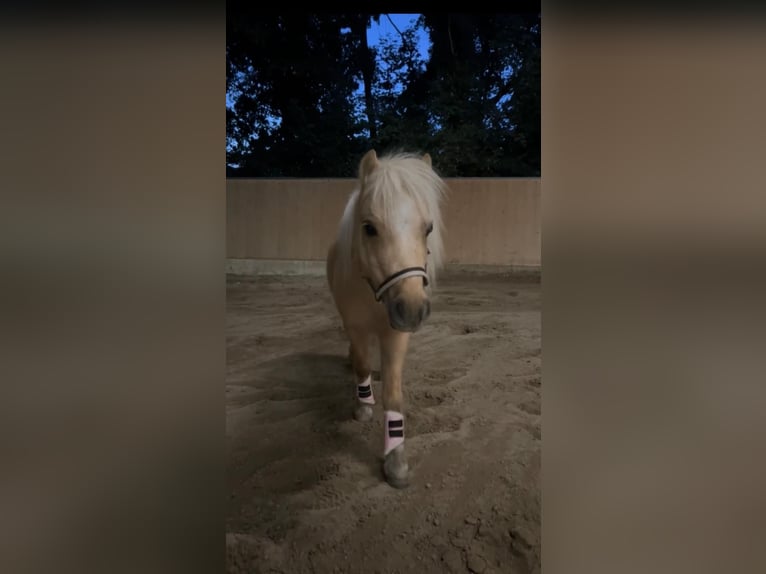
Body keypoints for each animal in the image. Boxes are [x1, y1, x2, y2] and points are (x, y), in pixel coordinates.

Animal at [326, 149, 447, 488]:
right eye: (369, 228)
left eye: (428, 229)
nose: (413, 309)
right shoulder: (355, 326)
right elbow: (362, 365)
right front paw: (363, 406)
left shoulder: (395, 334)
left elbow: (393, 395)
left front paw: (395, 461)